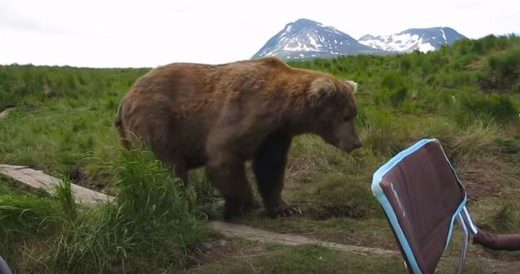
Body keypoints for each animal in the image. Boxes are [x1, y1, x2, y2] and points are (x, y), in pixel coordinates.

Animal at [116, 56, 362, 219]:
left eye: (353, 113)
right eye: (346, 115)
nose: (356, 142)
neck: (284, 110)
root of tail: (125, 98)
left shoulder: (275, 134)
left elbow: (270, 167)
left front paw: (286, 208)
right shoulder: (247, 112)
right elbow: (223, 157)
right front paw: (244, 204)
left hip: (129, 136)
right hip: (156, 119)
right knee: (165, 164)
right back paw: (185, 205)